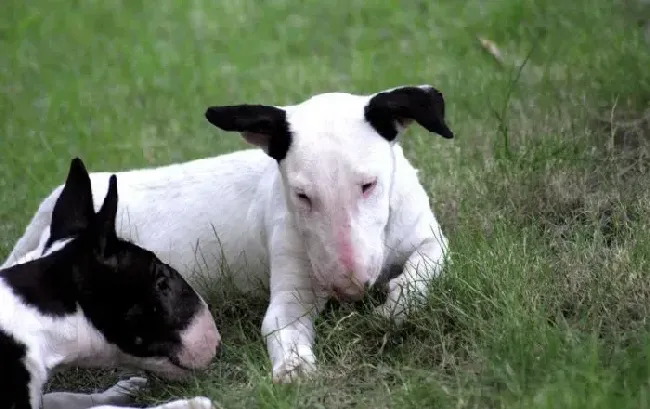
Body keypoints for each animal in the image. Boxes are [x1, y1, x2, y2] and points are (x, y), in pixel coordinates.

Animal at [0, 159, 219, 408]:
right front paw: (189, 403)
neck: (33, 318)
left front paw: (122, 389)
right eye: (161, 283)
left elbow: (60, 396)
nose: (217, 341)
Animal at [3, 83, 450, 382]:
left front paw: (394, 309)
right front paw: (294, 368)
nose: (349, 287)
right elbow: (280, 325)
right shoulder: (292, 285)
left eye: (369, 185)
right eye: (302, 196)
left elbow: (423, 267)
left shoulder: (430, 237)